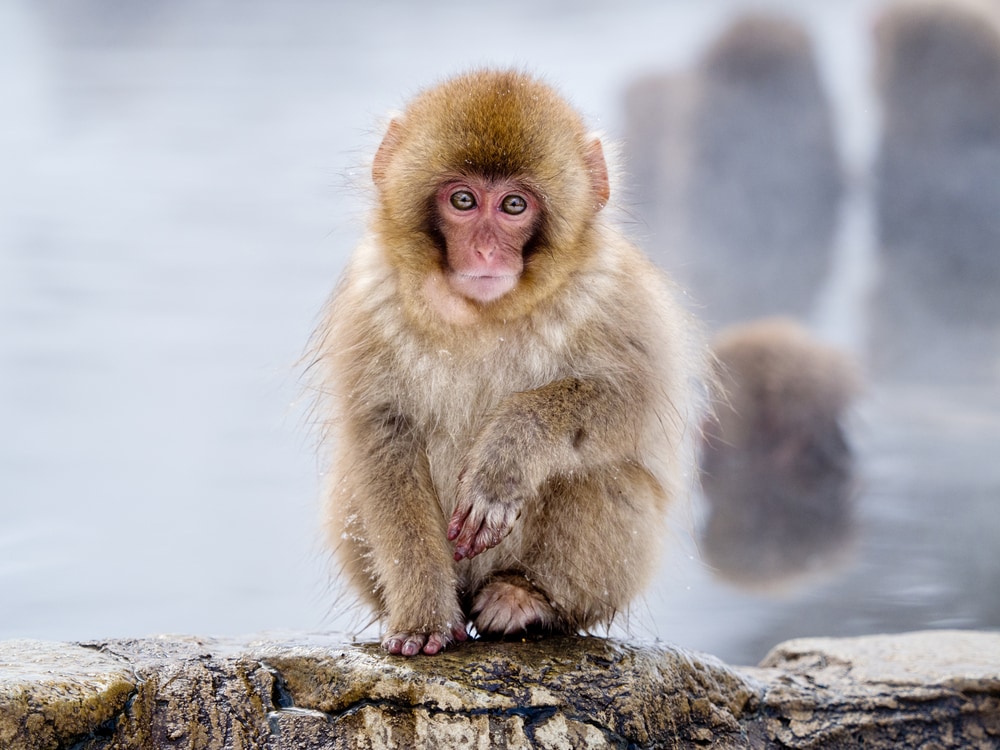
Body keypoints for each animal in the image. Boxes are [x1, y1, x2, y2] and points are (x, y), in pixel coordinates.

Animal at [308, 69, 710, 656]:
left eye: (514, 206)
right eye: (463, 199)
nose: (484, 252)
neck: (484, 314)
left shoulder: (615, 292)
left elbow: (635, 402)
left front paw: (507, 455)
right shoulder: (371, 301)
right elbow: (383, 441)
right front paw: (422, 613)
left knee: (602, 472)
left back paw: (526, 599)